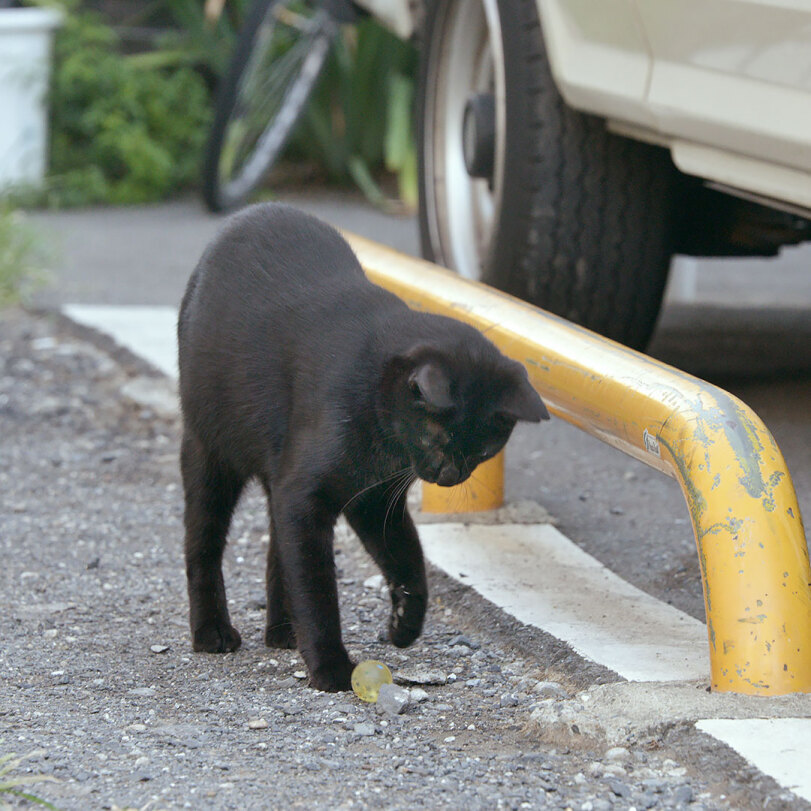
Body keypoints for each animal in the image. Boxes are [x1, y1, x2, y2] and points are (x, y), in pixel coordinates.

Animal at [176, 205, 544, 692]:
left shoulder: (373, 499)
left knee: (276, 546)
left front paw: (405, 622)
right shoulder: (308, 494)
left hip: (277, 474)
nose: (450, 477)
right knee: (204, 544)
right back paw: (212, 632)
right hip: (209, 452)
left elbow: (407, 558)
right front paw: (331, 667)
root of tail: (252, 212)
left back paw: (283, 632)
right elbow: (316, 587)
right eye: (438, 439)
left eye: (484, 451)